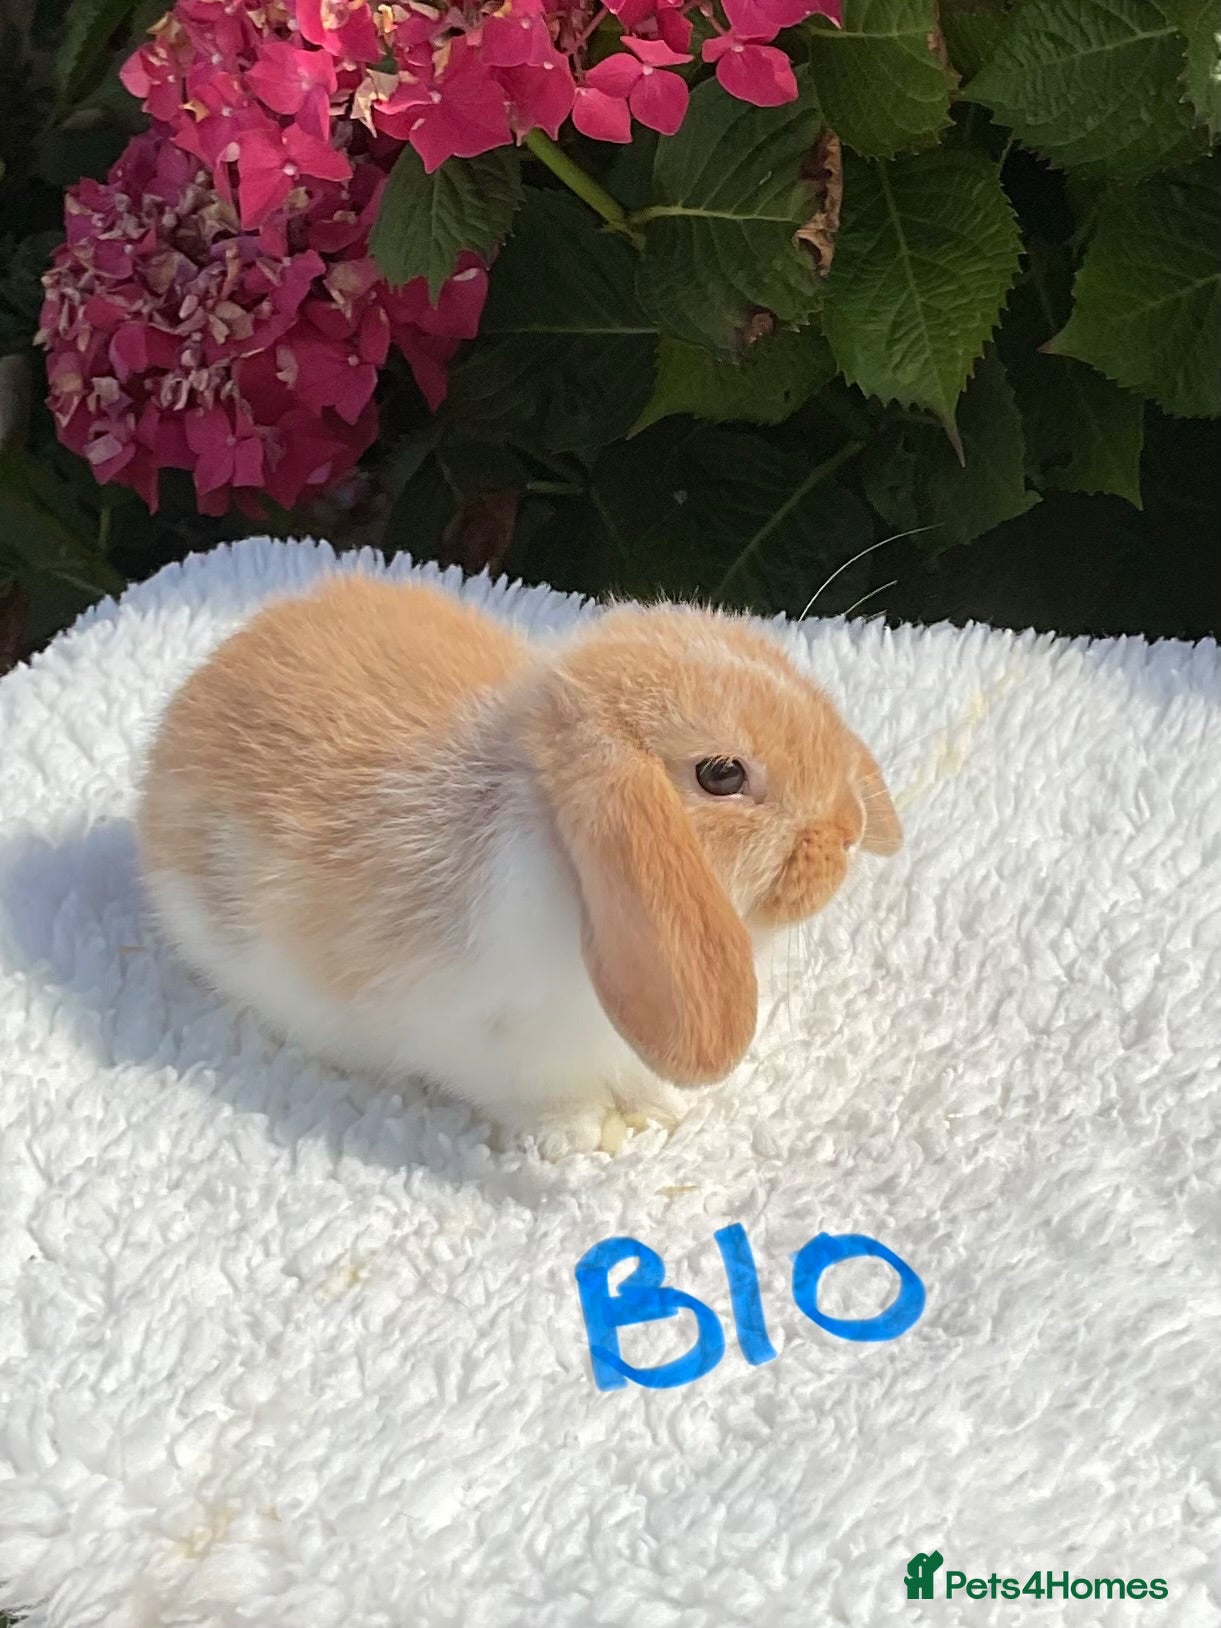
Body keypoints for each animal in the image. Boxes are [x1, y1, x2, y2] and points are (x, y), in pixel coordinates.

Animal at [137, 573, 902, 1156]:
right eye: (721, 774)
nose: (848, 831)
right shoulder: (493, 1049)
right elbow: (544, 1100)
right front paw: (581, 1138)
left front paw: (664, 1110)